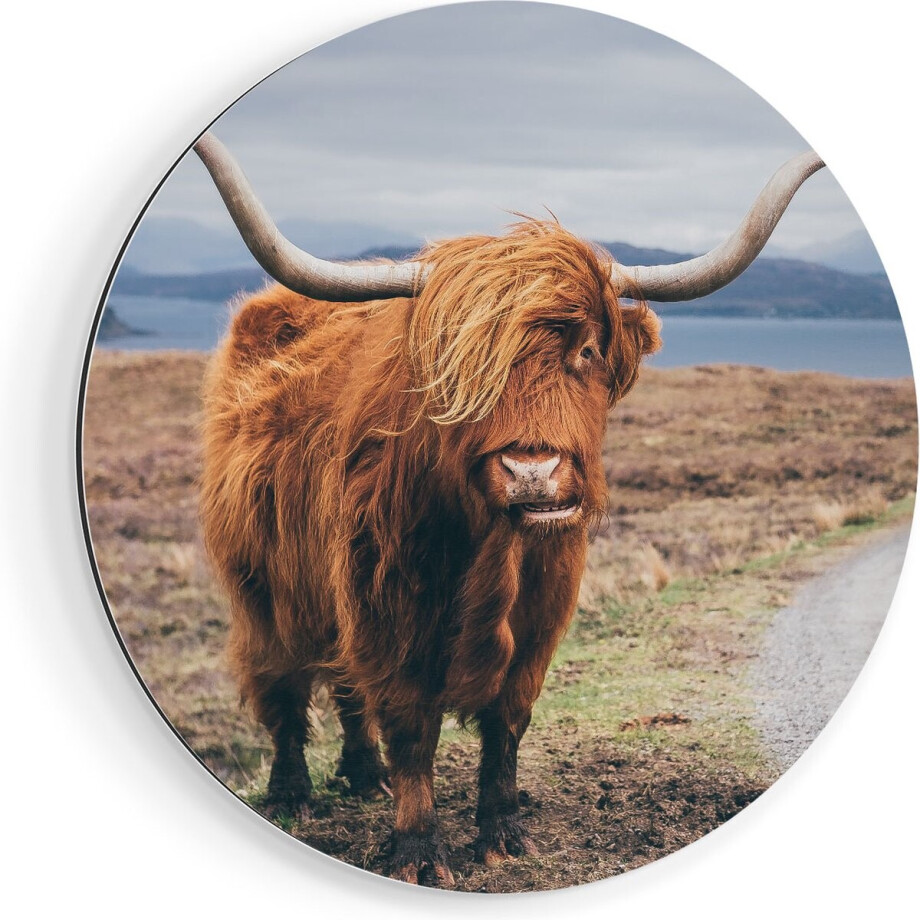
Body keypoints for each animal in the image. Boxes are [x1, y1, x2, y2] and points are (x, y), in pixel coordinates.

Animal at [194, 133, 823, 886]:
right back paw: (293, 794)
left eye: (587, 350)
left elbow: (506, 723)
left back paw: (363, 774)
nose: (532, 473)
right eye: (461, 368)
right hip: (262, 584)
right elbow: (411, 726)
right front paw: (419, 850)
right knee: (283, 687)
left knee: (344, 689)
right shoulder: (384, 609)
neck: (490, 550)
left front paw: (503, 833)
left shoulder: (540, 617)